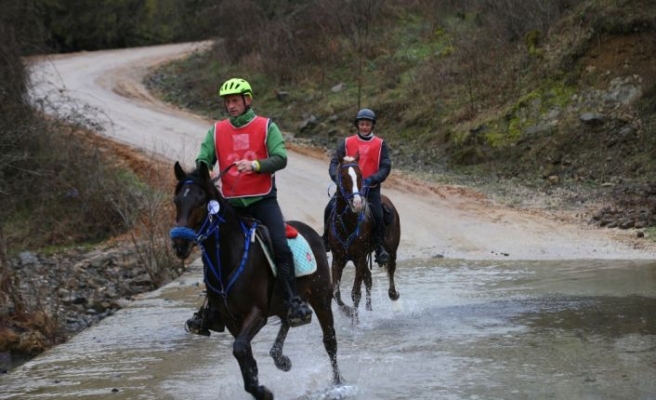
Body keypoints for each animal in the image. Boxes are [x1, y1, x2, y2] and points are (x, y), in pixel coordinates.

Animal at [169, 161, 344, 398]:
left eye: (201, 202)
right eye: (176, 201)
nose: (180, 243)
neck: (228, 256)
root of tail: (313, 233)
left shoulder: (256, 312)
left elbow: (240, 349)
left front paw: (262, 391)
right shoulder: (231, 319)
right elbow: (244, 353)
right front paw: (258, 388)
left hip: (321, 298)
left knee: (330, 341)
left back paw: (337, 383)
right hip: (283, 302)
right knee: (287, 319)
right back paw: (280, 357)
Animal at [326, 155, 400, 324]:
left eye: (360, 176)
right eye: (343, 176)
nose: (358, 203)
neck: (348, 223)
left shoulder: (359, 258)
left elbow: (355, 293)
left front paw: (355, 321)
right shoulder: (338, 259)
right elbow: (335, 292)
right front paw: (347, 312)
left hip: (391, 251)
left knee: (390, 272)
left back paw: (393, 295)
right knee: (369, 279)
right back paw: (369, 310)